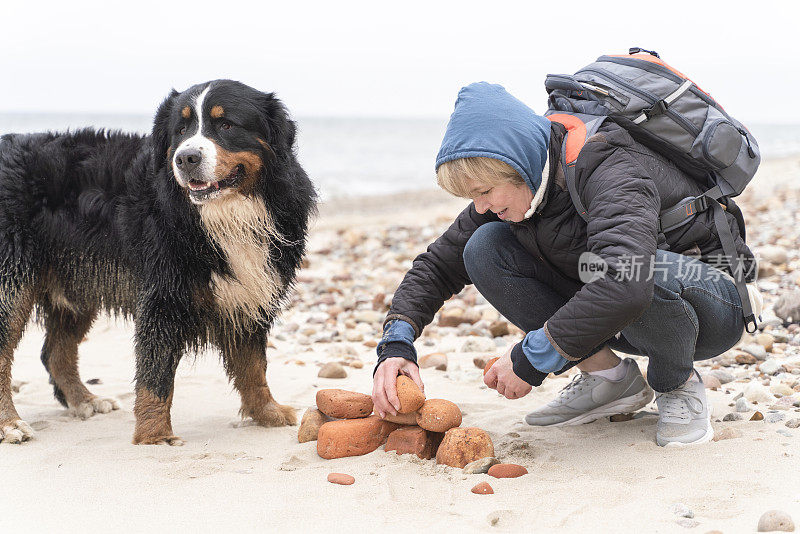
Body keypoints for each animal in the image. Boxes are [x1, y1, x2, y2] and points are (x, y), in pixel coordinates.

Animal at [0, 80, 318, 448]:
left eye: (226, 124)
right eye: (180, 130)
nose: (186, 157)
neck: (227, 214)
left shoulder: (249, 295)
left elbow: (253, 366)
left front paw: (268, 413)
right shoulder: (163, 296)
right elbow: (156, 374)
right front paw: (155, 435)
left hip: (76, 281)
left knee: (56, 352)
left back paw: (85, 401)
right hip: (12, 281)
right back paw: (10, 424)